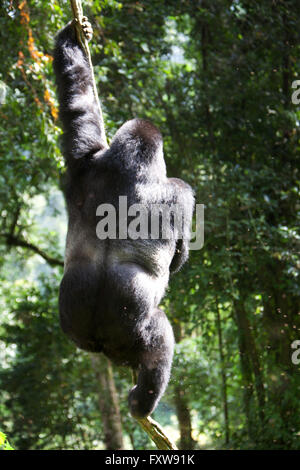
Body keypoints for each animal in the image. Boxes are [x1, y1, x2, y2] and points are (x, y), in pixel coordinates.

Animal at [53, 17, 195, 418]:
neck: (128, 168)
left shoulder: (84, 161)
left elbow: (77, 104)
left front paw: (72, 38)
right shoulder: (180, 191)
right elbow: (180, 254)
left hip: (71, 322)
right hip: (129, 331)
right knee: (160, 335)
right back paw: (143, 400)